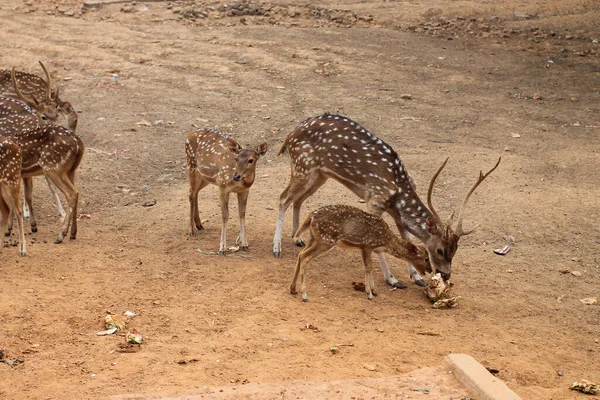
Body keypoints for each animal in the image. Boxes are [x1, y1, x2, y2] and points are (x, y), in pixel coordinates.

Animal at [274, 113, 500, 288]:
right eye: (440, 250)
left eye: (456, 249)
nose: (446, 274)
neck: (398, 192)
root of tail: (289, 136)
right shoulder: (375, 201)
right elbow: (379, 239)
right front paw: (392, 279)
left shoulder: (397, 213)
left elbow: (407, 238)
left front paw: (416, 277)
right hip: (303, 166)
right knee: (283, 198)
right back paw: (277, 248)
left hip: (319, 175)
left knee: (298, 199)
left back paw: (297, 238)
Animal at [290, 205, 432, 302]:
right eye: (426, 258)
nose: (430, 270)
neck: (385, 241)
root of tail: (311, 216)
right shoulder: (367, 246)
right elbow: (368, 267)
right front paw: (369, 293)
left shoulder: (365, 248)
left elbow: (370, 267)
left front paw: (374, 290)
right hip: (326, 240)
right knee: (305, 257)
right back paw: (304, 295)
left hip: (314, 238)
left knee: (300, 254)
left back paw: (292, 289)